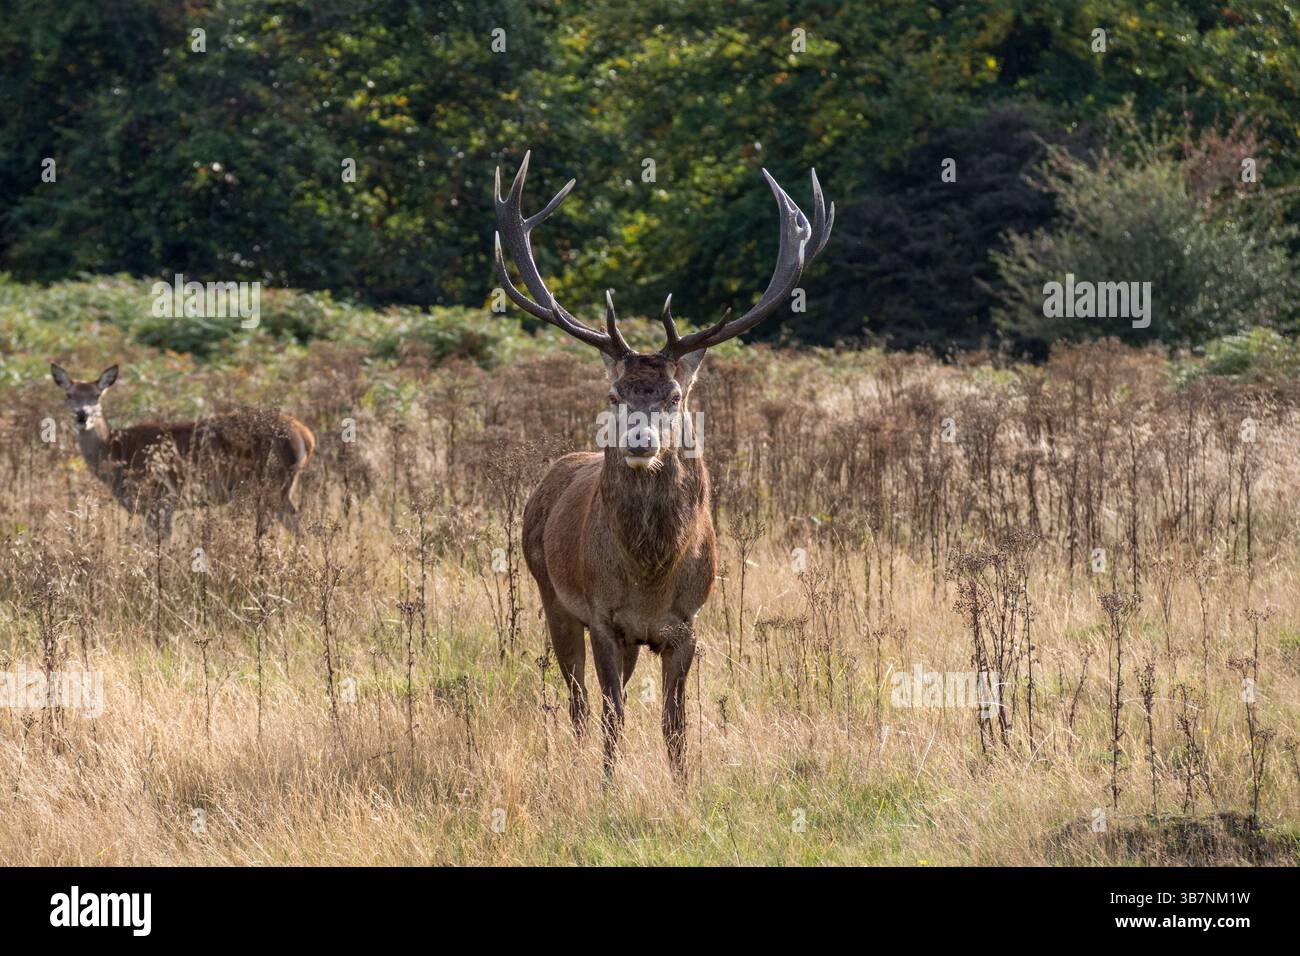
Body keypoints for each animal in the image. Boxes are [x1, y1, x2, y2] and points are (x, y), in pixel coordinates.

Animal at [50, 363, 316, 539]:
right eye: (69, 395)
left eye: (97, 395)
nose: (82, 415)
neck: (116, 452)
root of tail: (307, 436)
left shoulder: (161, 495)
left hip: (274, 480)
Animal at [493, 151, 832, 780]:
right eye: (615, 393)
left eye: (674, 396)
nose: (640, 440)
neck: (650, 576)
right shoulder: (604, 617)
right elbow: (613, 715)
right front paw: (607, 783)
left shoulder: (686, 624)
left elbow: (675, 723)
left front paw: (681, 784)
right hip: (552, 595)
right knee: (578, 699)